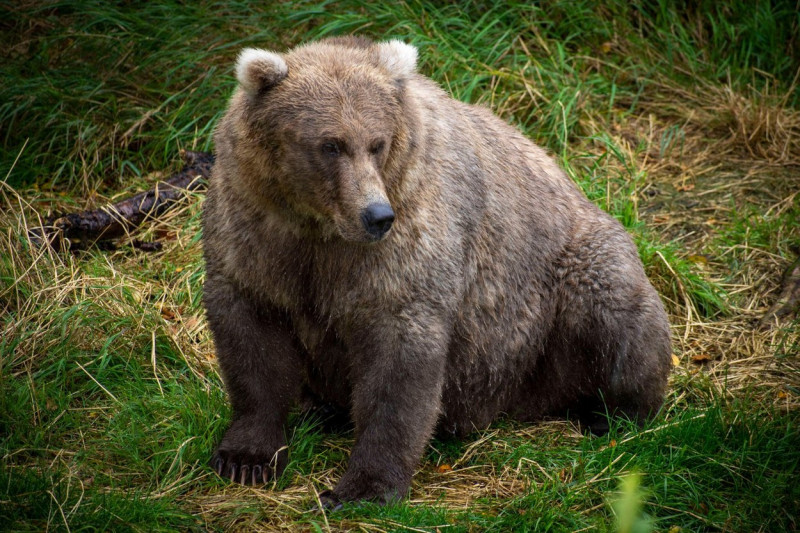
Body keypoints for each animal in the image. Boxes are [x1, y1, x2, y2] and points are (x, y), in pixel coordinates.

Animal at [203, 36, 672, 502]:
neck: (318, 227)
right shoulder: (257, 235)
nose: (376, 215)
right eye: (330, 144)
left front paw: (363, 486)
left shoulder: (405, 243)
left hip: (566, 279)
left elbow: (399, 363)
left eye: (377, 142)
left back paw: (612, 414)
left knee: (616, 319)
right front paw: (246, 458)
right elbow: (254, 344)